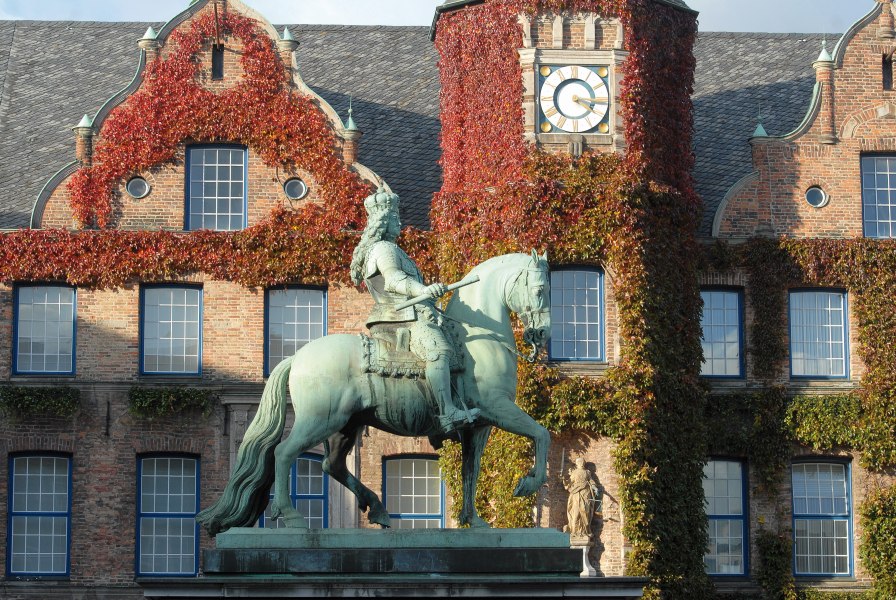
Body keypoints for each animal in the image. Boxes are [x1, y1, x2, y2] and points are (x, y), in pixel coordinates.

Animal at [199, 251, 548, 532]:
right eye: (541, 289)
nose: (541, 334)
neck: (480, 338)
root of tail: (296, 357)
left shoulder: (480, 426)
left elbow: (470, 472)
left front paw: (473, 520)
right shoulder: (497, 410)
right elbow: (541, 434)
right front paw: (528, 483)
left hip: (344, 427)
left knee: (332, 465)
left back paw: (378, 510)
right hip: (320, 420)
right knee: (283, 453)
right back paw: (293, 517)